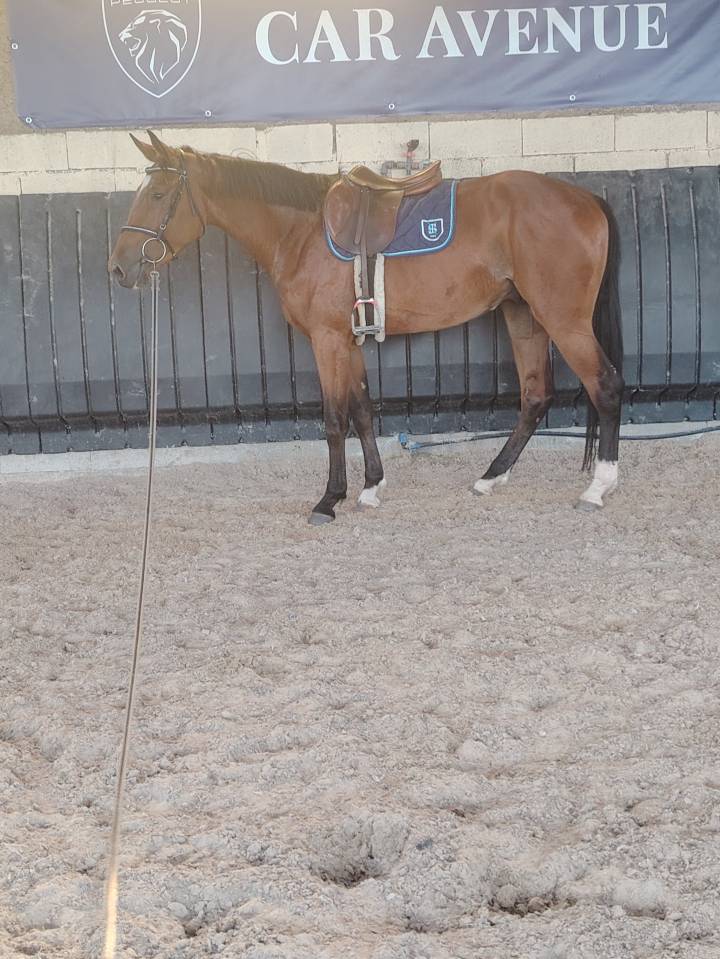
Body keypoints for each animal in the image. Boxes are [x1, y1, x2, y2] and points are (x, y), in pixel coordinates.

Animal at [109, 131, 624, 525]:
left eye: (158, 195)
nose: (118, 268)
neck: (302, 231)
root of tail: (584, 198)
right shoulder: (347, 339)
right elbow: (361, 409)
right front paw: (371, 486)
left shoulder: (326, 340)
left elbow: (335, 419)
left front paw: (328, 500)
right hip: (523, 316)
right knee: (536, 396)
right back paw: (491, 476)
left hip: (563, 319)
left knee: (605, 385)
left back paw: (598, 487)